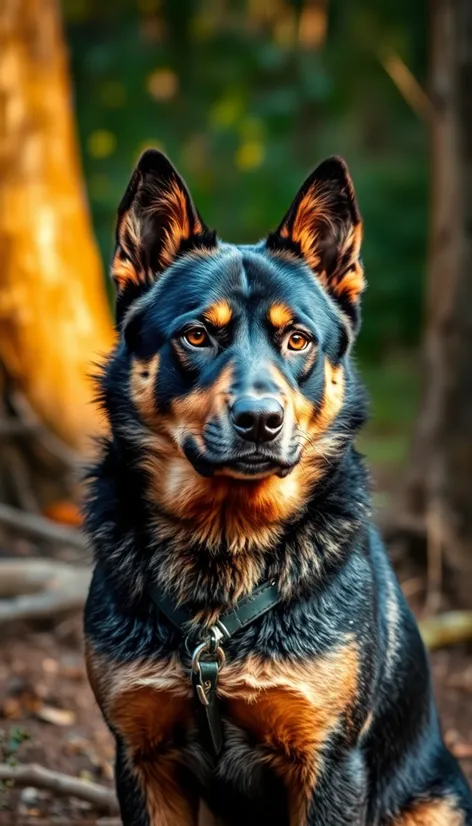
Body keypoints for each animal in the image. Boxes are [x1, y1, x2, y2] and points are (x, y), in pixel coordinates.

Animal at [83, 150, 470, 824]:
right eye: (197, 335)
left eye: (297, 340)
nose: (260, 420)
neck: (223, 547)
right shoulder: (142, 755)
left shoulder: (329, 763)